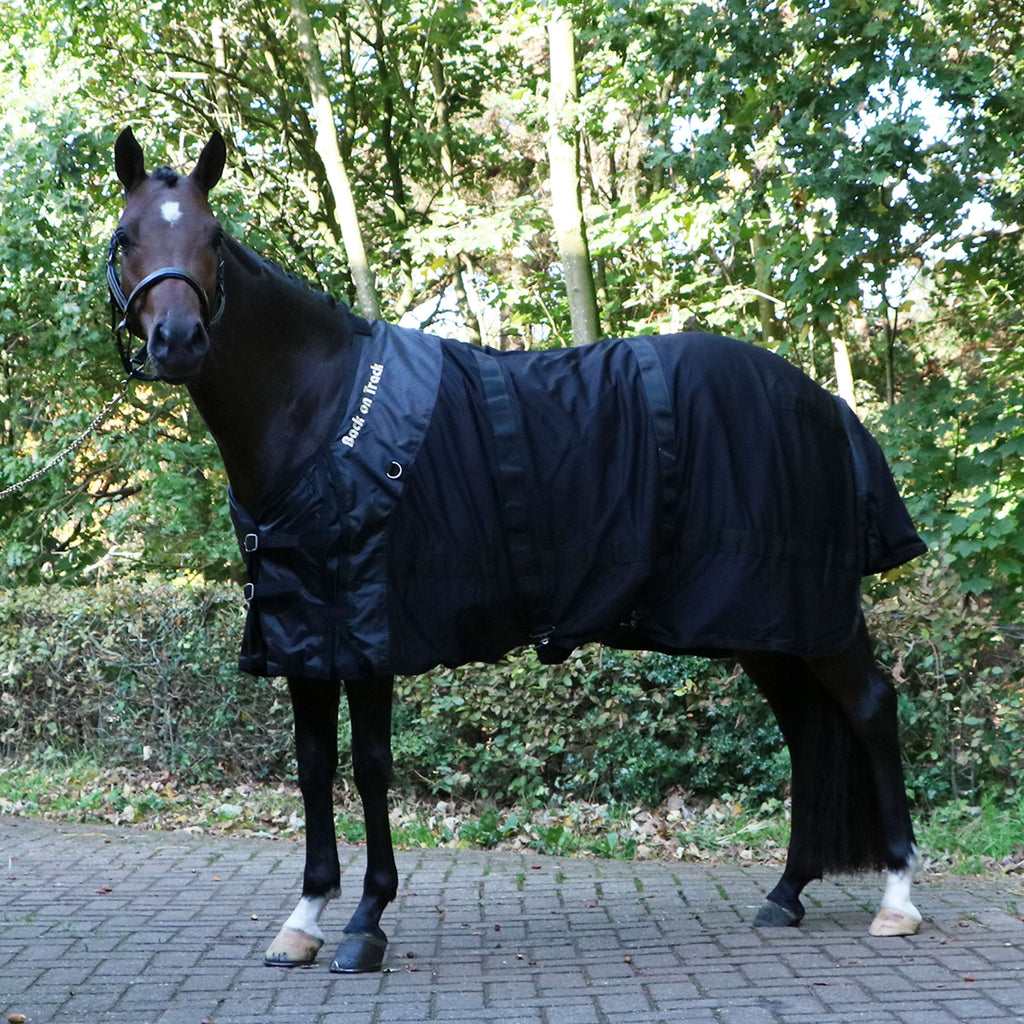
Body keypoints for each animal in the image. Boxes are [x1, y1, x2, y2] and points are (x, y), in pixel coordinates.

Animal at [108, 127, 927, 973]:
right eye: (127, 236)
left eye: (212, 238)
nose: (178, 341)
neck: (323, 411)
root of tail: (824, 405)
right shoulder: (302, 629)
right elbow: (311, 765)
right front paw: (304, 916)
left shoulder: (367, 630)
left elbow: (368, 767)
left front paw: (367, 919)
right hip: (767, 623)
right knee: (807, 732)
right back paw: (787, 891)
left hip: (810, 615)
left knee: (870, 709)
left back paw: (898, 898)